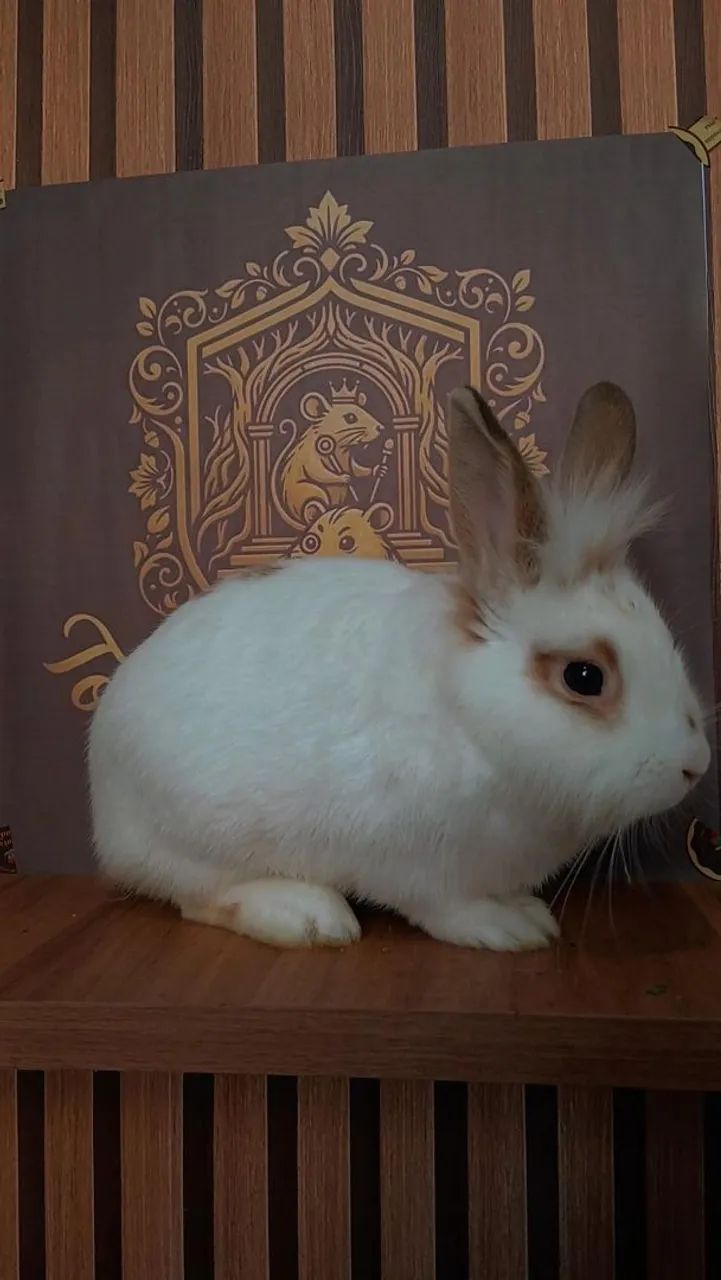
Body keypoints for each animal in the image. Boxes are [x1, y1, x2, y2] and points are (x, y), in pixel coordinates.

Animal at [88, 382, 710, 950]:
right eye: (585, 677)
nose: (695, 765)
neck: (467, 718)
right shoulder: (420, 867)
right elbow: (446, 908)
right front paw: (512, 928)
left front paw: (525, 910)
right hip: (193, 839)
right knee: (201, 898)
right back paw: (308, 916)